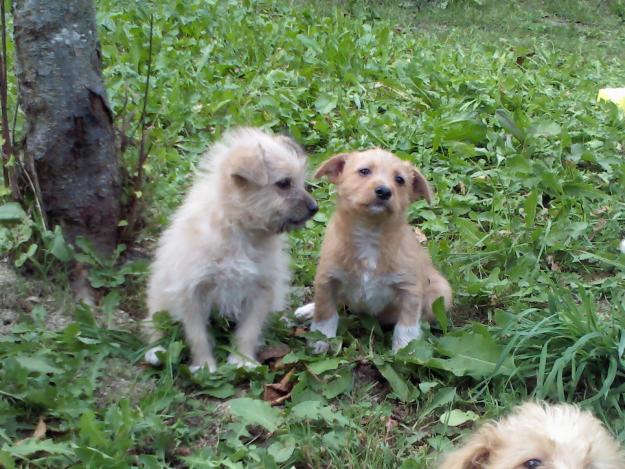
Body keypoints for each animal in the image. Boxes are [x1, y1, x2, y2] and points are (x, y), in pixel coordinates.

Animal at [143, 126, 316, 372]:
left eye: (300, 182)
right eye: (283, 183)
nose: (314, 208)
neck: (240, 230)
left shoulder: (261, 289)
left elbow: (248, 331)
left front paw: (242, 360)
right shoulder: (191, 291)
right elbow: (198, 335)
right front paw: (204, 366)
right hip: (159, 296)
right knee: (154, 322)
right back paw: (155, 350)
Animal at [294, 149, 450, 352]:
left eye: (400, 179)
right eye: (364, 171)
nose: (384, 191)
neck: (370, 234)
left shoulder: (410, 289)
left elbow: (406, 324)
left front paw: (405, 349)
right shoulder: (326, 279)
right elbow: (325, 312)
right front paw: (321, 339)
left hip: (440, 294)